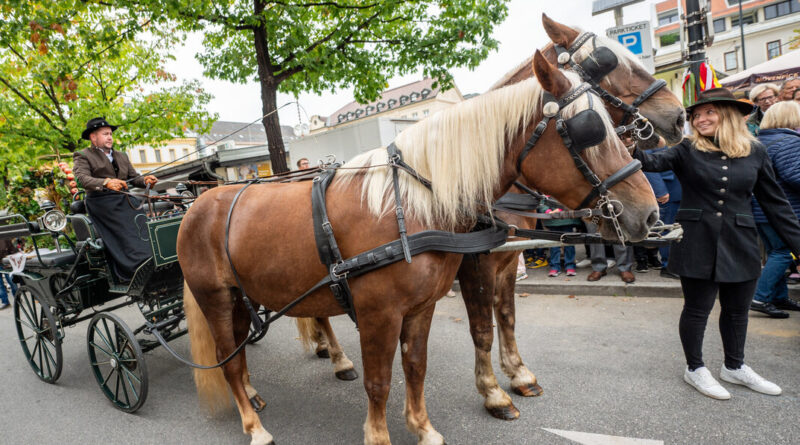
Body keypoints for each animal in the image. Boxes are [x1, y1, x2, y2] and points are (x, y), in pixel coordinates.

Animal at [180, 50, 656, 442]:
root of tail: (197, 203)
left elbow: (418, 365)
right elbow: (383, 380)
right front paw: (387, 434)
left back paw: (261, 391)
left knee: (241, 347)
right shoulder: (386, 311)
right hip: (215, 298)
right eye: (589, 131)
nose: (649, 214)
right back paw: (255, 425)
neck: (411, 206)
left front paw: (424, 428)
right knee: (228, 358)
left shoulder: (425, 305)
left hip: (242, 296)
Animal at [296, 15, 688, 420]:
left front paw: (519, 374)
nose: (679, 116)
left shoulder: (508, 260)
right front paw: (493, 392)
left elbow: (508, 317)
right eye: (607, 63)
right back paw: (339, 358)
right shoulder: (478, 266)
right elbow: (483, 327)